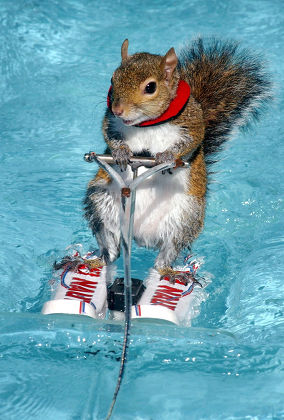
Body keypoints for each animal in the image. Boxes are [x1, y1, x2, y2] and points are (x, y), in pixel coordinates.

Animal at [84, 38, 270, 282]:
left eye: (150, 87)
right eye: (112, 79)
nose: (118, 109)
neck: (146, 124)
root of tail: (140, 234)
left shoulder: (192, 124)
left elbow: (190, 142)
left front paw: (167, 157)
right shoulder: (111, 123)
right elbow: (110, 136)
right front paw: (121, 152)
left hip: (184, 219)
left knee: (165, 256)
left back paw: (168, 272)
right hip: (102, 206)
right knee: (111, 250)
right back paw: (96, 261)